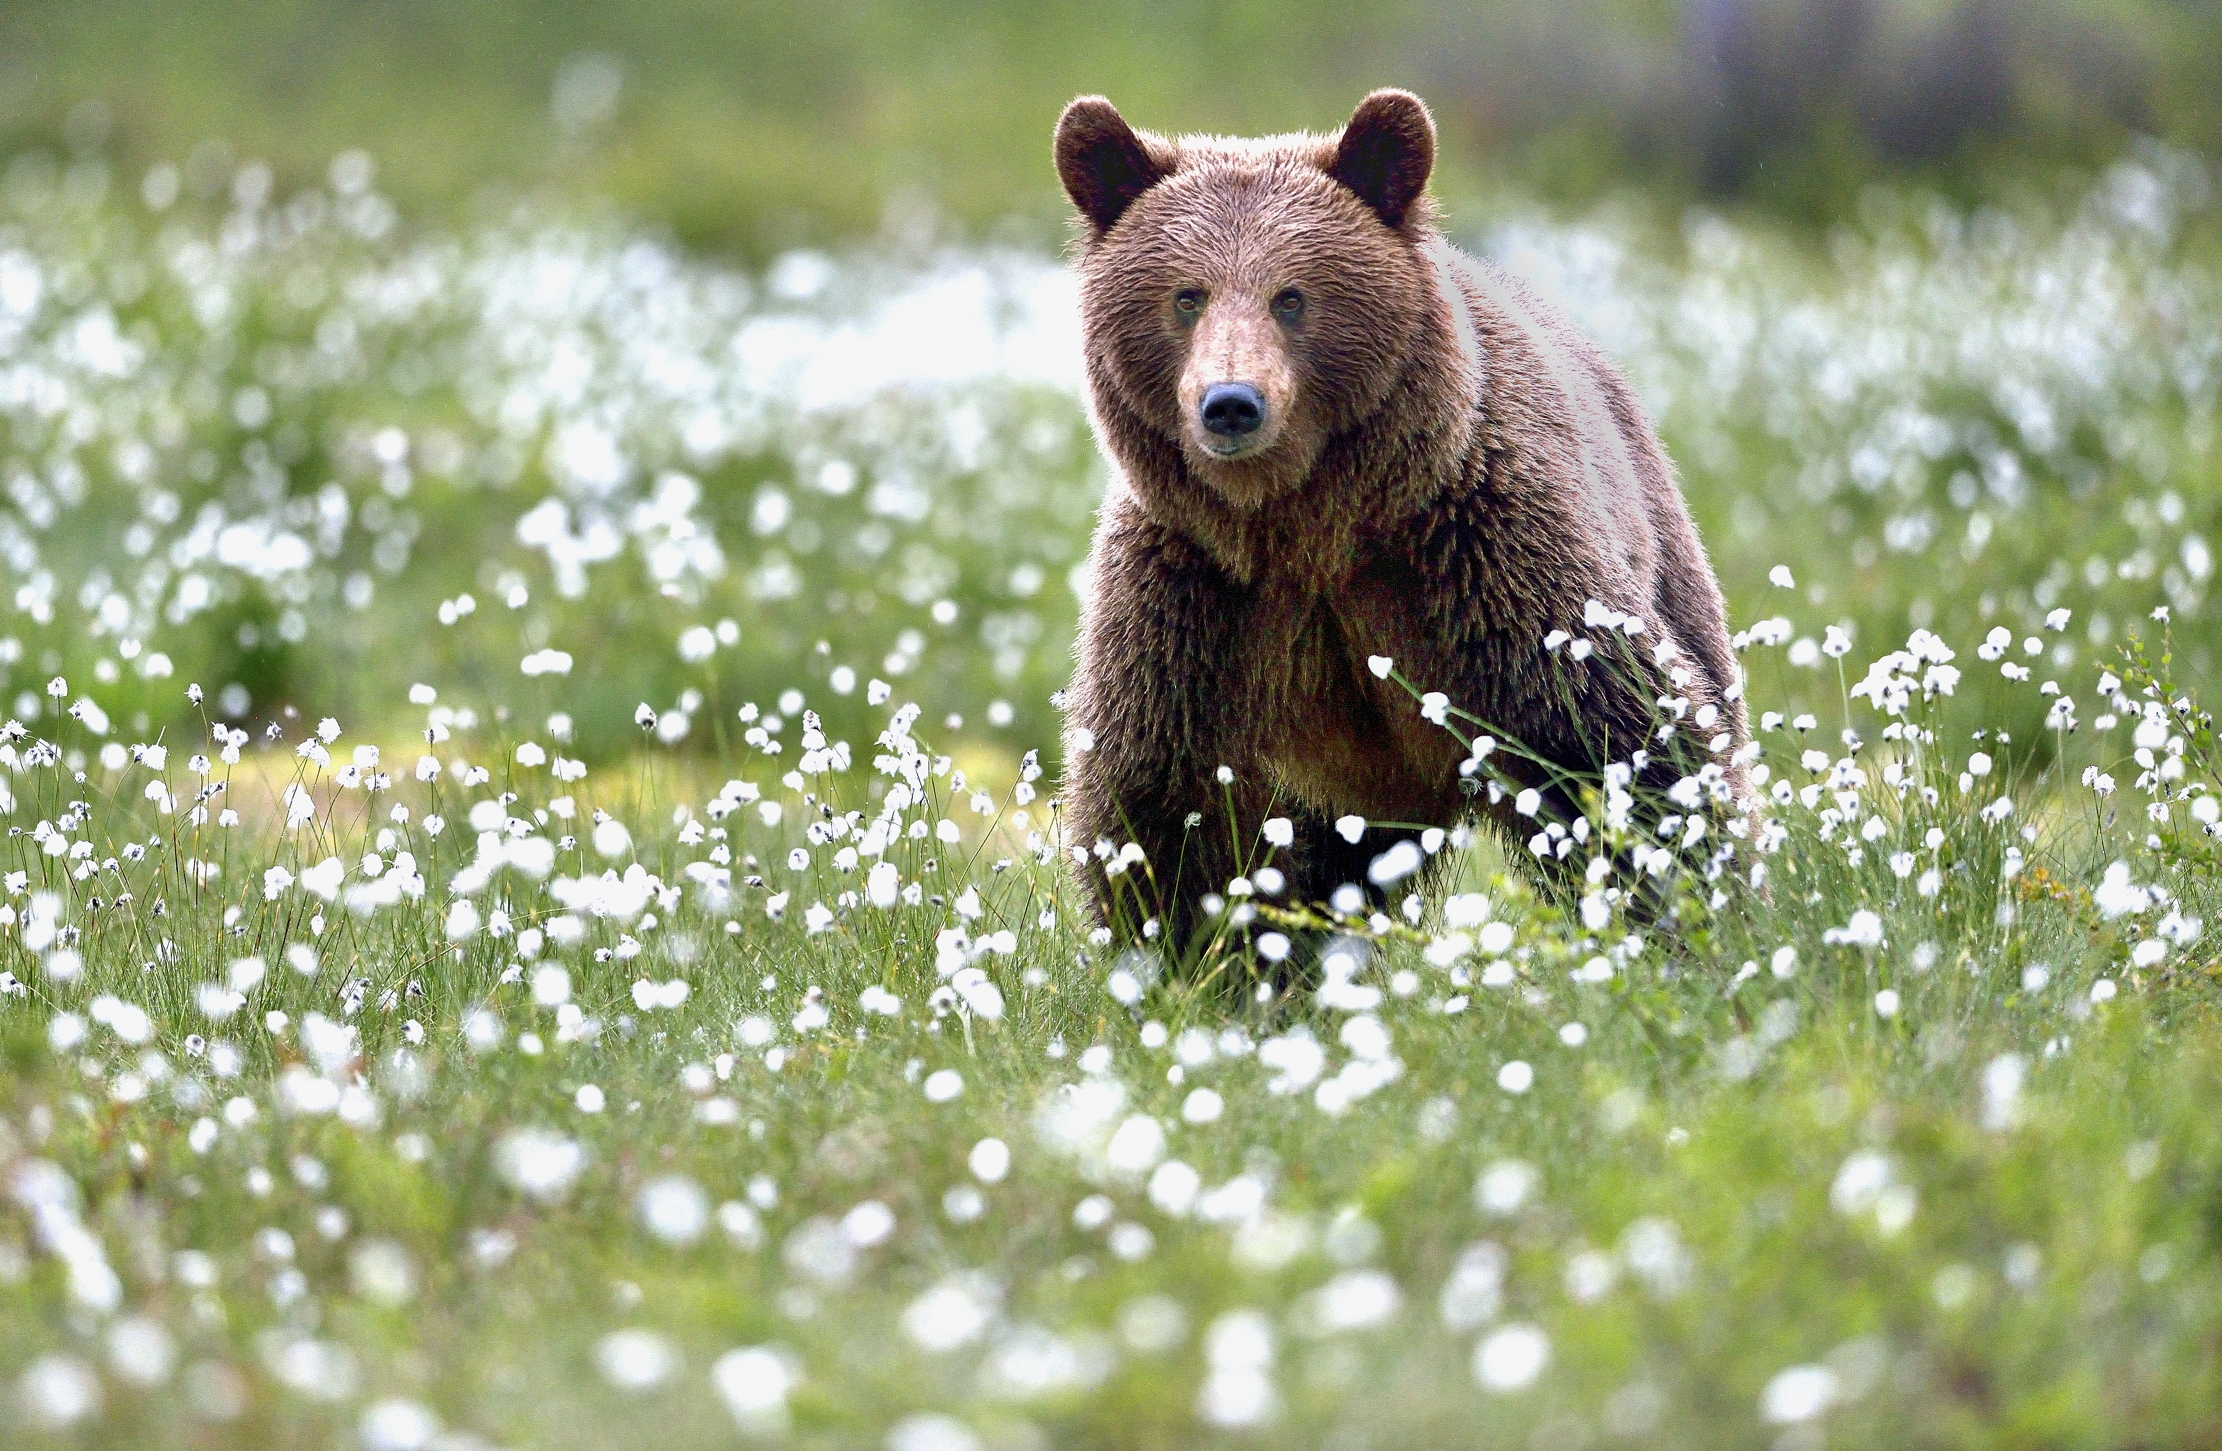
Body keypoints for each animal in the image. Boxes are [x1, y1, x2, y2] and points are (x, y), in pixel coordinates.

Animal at [1052, 88, 1752, 957]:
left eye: (1291, 296)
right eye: (1187, 295)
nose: (1231, 403)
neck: (1310, 525)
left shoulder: (1480, 554)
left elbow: (1619, 737)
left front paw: (1686, 915)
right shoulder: (1199, 601)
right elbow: (1166, 804)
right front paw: (1201, 955)